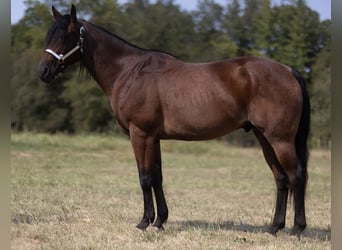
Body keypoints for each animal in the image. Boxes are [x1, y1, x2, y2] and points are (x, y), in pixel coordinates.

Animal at [37, 4, 310, 237]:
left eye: (66, 36)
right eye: (48, 35)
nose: (43, 72)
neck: (129, 72)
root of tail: (288, 71)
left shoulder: (140, 134)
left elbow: (144, 177)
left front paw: (144, 222)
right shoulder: (154, 138)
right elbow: (157, 177)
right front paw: (160, 221)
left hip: (280, 139)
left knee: (296, 176)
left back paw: (296, 229)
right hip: (264, 138)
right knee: (281, 178)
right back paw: (274, 227)